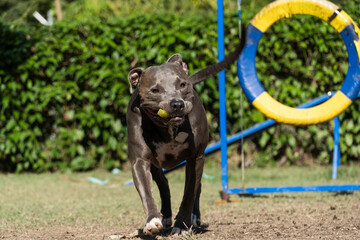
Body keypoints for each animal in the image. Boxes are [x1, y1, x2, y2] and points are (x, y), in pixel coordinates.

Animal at [125, 30, 246, 236]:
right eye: (155, 90)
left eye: (182, 85)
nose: (177, 104)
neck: (169, 130)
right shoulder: (140, 161)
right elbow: (147, 192)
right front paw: (152, 221)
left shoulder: (195, 157)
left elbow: (189, 192)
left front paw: (182, 224)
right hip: (156, 165)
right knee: (164, 184)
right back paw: (165, 216)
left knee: (197, 187)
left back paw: (194, 217)